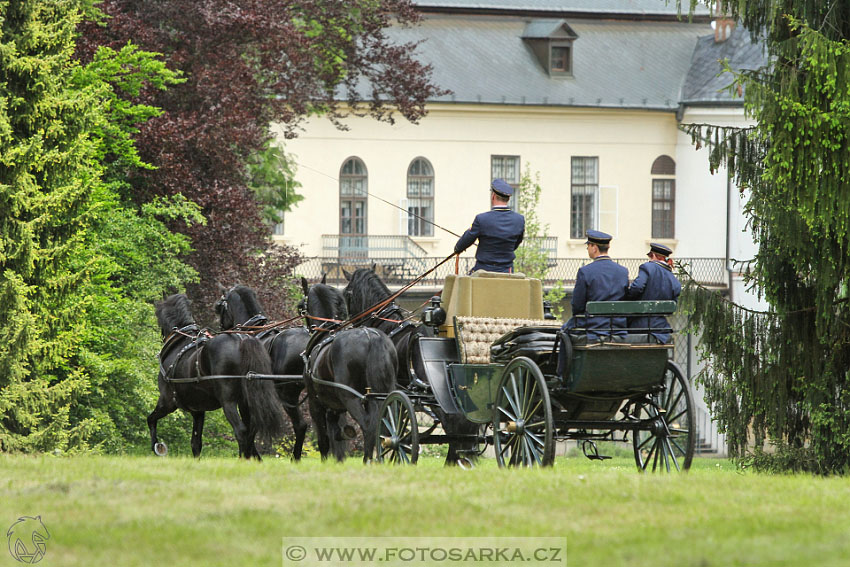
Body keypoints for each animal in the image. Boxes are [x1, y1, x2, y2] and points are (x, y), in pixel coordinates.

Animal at [151, 296, 286, 460]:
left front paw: (157, 446)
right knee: (251, 431)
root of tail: (242, 340)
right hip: (247, 401)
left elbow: (151, 420)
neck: (180, 343)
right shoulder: (198, 410)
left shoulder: (167, 402)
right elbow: (196, 443)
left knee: (241, 431)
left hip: (228, 402)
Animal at [215, 284, 312, 462]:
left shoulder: (244, 400)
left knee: (300, 425)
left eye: (219, 307)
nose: (223, 328)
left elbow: (249, 428)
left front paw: (250, 454)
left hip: (287, 394)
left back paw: (295, 458)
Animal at [302, 282, 398, 464]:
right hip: (381, 395)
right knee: (383, 426)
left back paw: (367, 460)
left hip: (350, 397)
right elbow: (335, 433)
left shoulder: (315, 402)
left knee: (368, 425)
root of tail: (371, 336)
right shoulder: (334, 406)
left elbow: (324, 439)